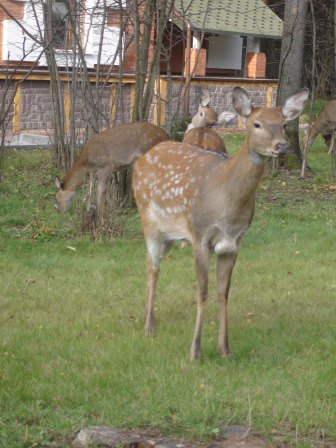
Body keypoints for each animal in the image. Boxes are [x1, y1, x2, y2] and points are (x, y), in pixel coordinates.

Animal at [132, 86, 310, 360]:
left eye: (282, 124)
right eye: (257, 124)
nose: (281, 145)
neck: (227, 205)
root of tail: (144, 157)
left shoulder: (233, 243)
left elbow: (223, 292)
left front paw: (225, 349)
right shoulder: (200, 236)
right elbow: (202, 292)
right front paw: (195, 351)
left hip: (170, 234)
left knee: (153, 263)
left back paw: (147, 317)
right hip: (147, 217)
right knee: (153, 266)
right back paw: (149, 326)